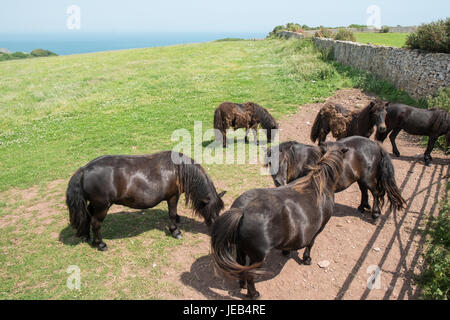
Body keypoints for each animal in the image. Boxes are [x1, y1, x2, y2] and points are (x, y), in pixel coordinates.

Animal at [66, 151, 225, 251]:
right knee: (96, 223)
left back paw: (87, 236)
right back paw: (100, 244)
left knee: (87, 216)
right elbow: (172, 214)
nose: (216, 230)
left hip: (94, 205)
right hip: (102, 206)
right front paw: (175, 231)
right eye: (213, 209)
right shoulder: (173, 197)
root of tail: (85, 169)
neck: (178, 170)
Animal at [211, 146, 348, 298]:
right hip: (257, 258)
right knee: (250, 275)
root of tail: (242, 210)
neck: (318, 185)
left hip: (240, 249)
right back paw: (254, 294)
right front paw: (306, 259)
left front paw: (286, 252)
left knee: (241, 267)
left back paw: (242, 284)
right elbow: (310, 244)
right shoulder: (319, 228)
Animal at [266, 136, 406, 221]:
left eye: (284, 160)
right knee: (364, 191)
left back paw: (375, 215)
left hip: (369, 179)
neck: (304, 162)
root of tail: (376, 145)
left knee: (376, 193)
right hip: (361, 179)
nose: (279, 182)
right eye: (269, 163)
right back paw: (362, 207)